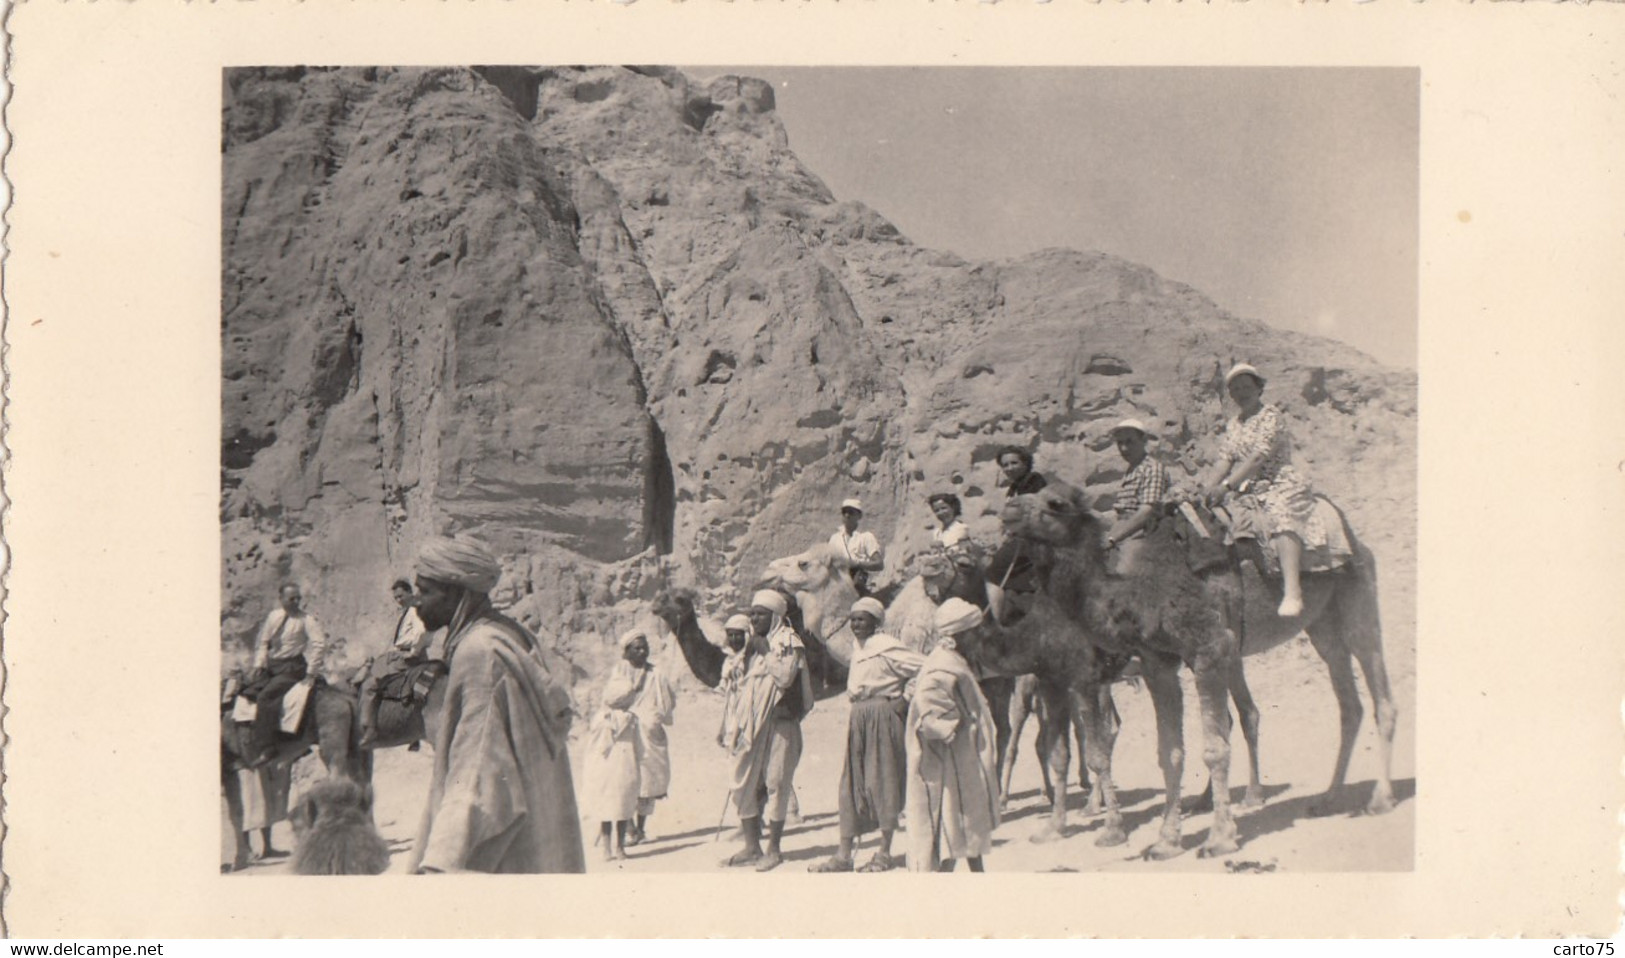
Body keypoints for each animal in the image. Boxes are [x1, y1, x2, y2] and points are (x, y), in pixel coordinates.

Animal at [1001, 480, 1397, 863]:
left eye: (1054, 503)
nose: (1008, 510)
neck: (1137, 591)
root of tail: (1353, 536)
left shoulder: (1205, 650)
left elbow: (1212, 749)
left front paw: (1218, 838)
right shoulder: (1156, 663)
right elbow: (1168, 752)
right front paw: (1165, 842)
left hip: (1356, 598)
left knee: (1379, 692)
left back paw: (1379, 799)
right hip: (1321, 625)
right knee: (1347, 702)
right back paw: (1325, 799)